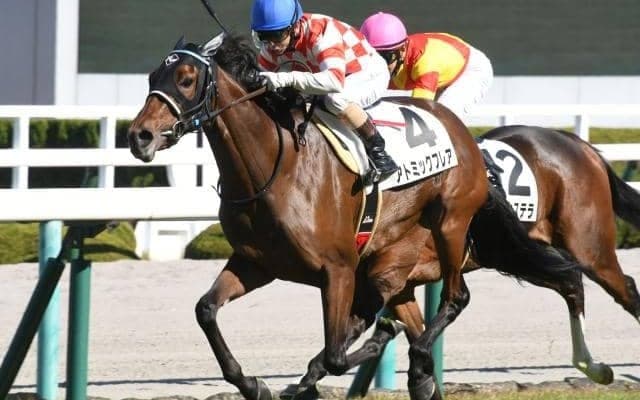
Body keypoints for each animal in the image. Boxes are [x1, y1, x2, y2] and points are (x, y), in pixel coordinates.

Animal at [127, 33, 582, 400]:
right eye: (152, 78)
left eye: (186, 79)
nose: (139, 136)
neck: (276, 168)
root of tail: (463, 134)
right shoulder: (256, 262)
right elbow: (206, 310)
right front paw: (252, 384)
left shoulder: (339, 270)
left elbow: (334, 355)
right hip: (394, 263)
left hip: (451, 224)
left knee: (456, 298)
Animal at [292, 125, 640, 394]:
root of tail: (577, 143)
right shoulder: (396, 284)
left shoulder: (391, 276)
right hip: (521, 253)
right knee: (570, 283)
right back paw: (592, 366)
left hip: (589, 247)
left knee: (624, 289)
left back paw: (599, 365)